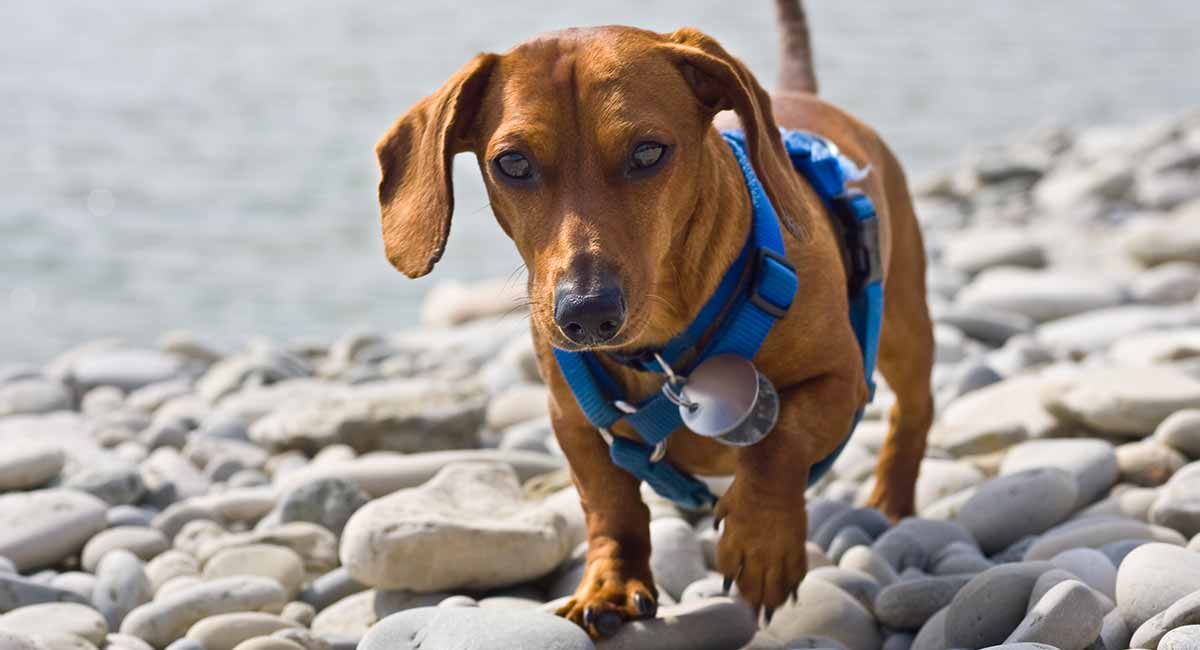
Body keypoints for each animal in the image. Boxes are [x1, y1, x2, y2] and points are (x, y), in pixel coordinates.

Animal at [369, 0, 931, 642]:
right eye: (512, 163)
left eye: (647, 153)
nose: (586, 314)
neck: (661, 351)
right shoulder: (572, 423)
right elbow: (610, 504)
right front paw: (611, 583)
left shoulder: (841, 382)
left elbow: (780, 442)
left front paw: (762, 541)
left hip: (903, 327)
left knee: (914, 413)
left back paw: (891, 498)